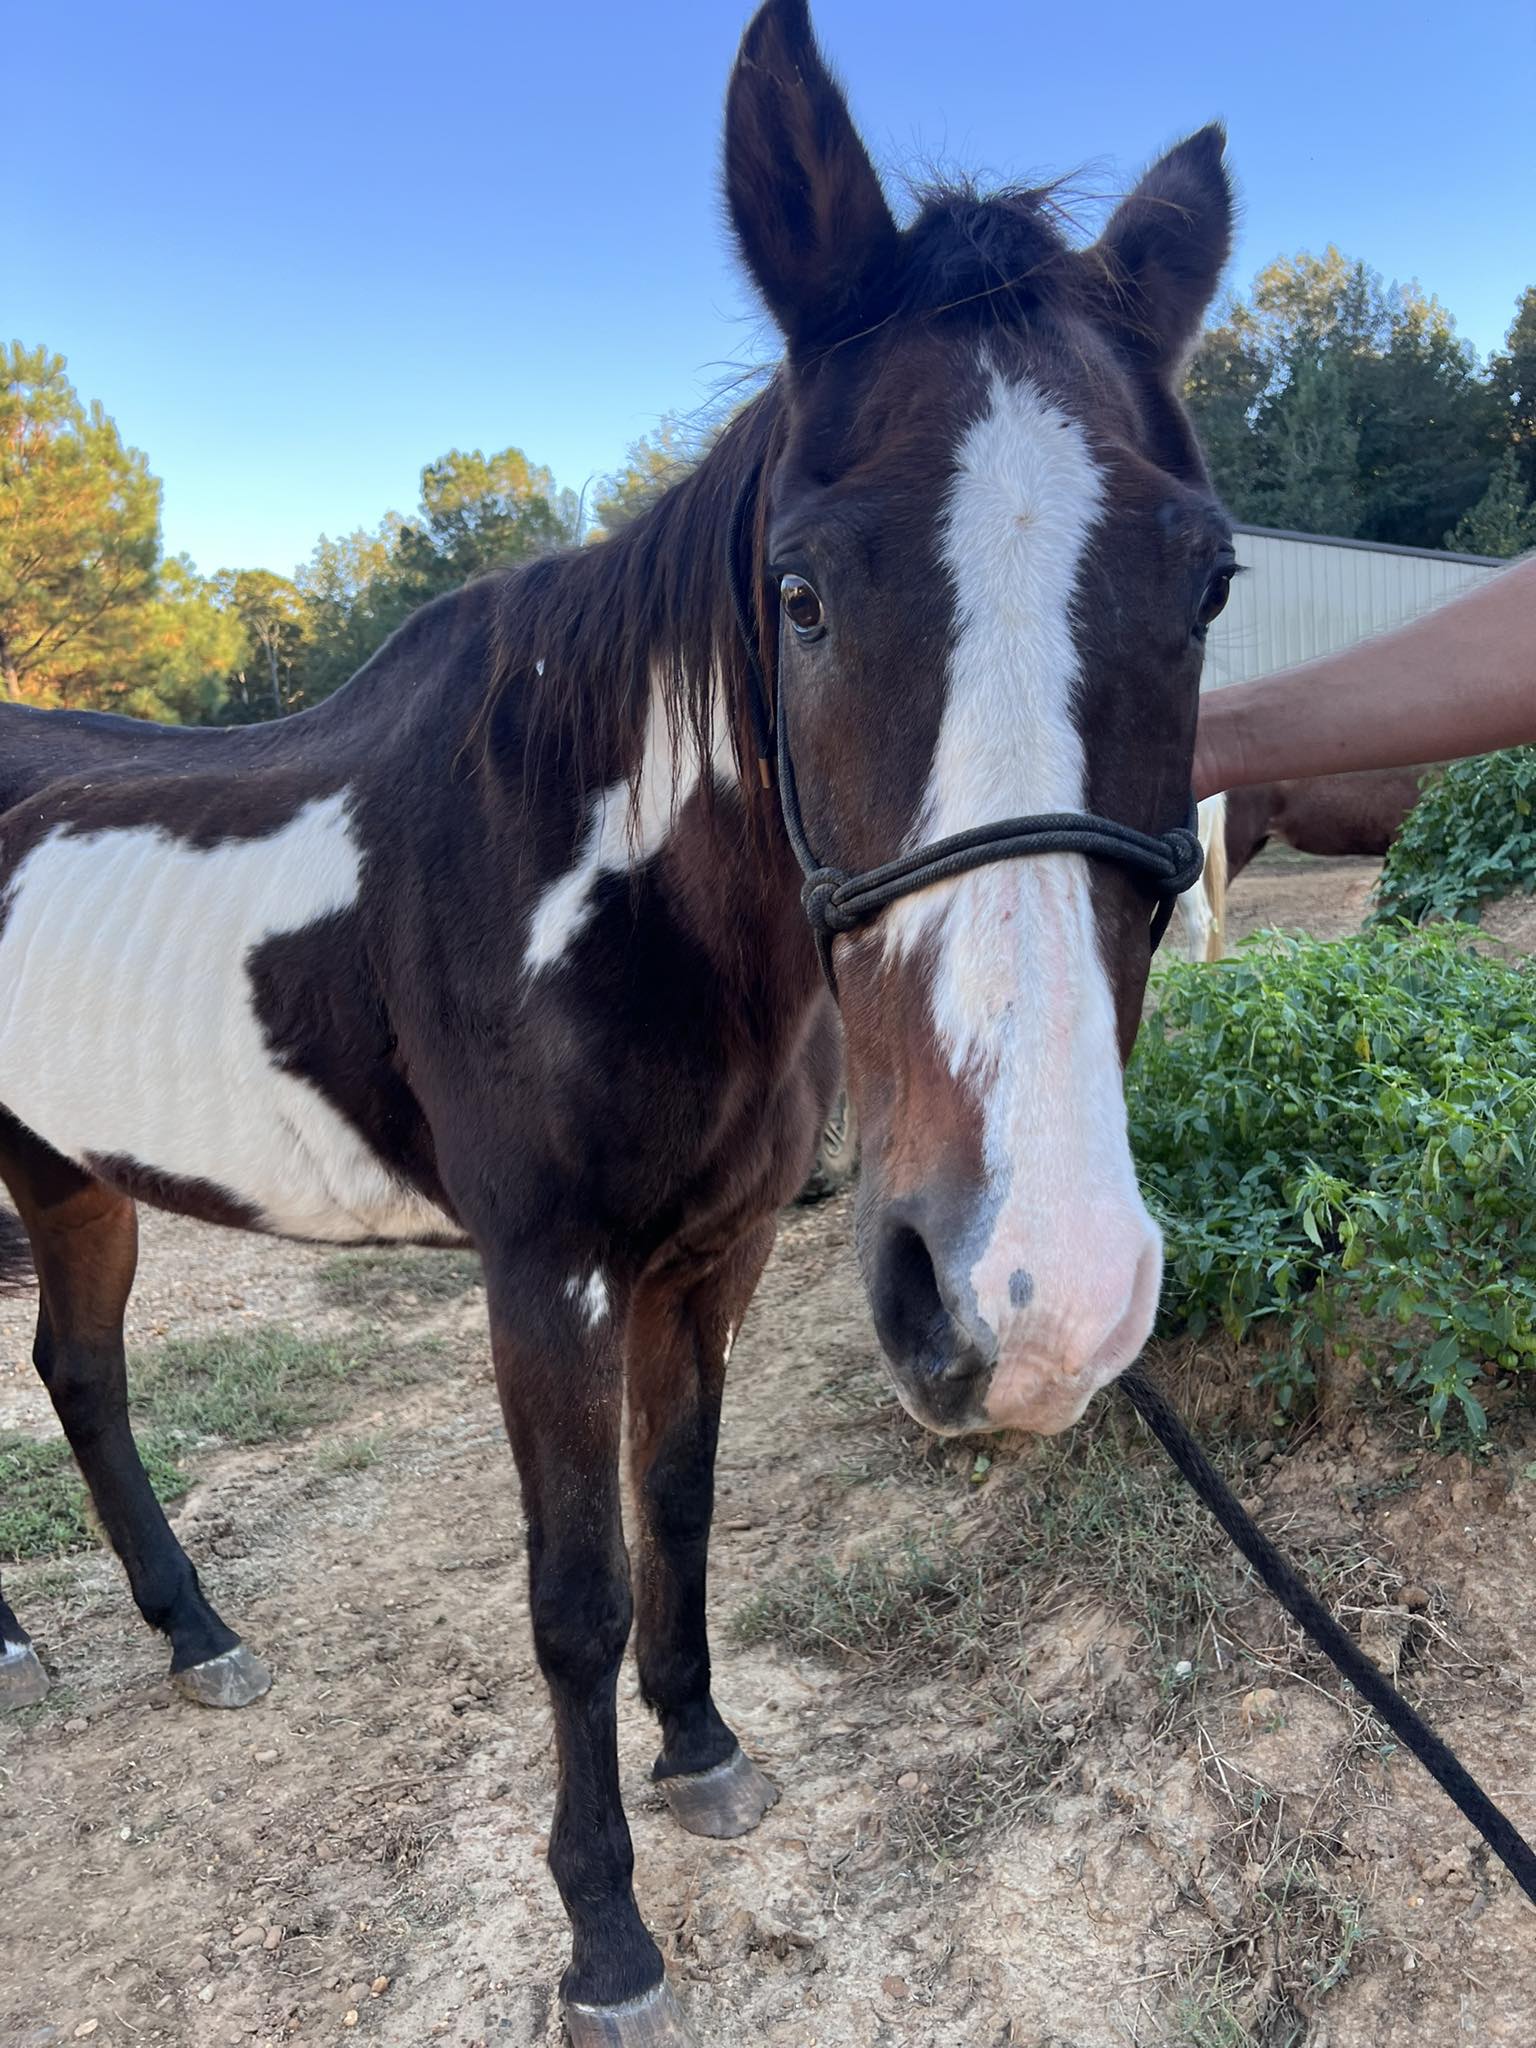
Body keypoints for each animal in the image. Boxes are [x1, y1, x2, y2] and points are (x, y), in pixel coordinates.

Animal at [0, 4, 1235, 2037]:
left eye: (1208, 580)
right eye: (800, 592)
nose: (1039, 1293)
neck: (603, 887)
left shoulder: (712, 1255)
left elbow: (682, 1506)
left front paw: (704, 1747)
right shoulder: (547, 1274)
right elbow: (572, 1591)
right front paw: (605, 1931)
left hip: (73, 1176)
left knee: (81, 1374)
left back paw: (194, 1632)